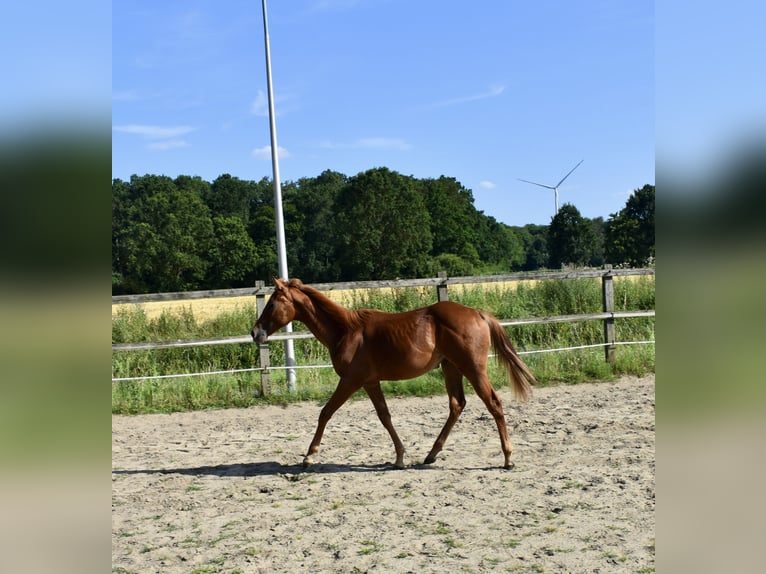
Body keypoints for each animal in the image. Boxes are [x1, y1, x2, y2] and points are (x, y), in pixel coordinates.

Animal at [251, 277, 536, 469]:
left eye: (273, 303)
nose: (255, 333)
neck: (346, 331)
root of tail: (478, 313)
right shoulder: (370, 382)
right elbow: (384, 416)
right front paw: (399, 457)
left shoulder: (351, 380)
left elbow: (325, 413)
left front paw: (309, 456)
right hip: (451, 368)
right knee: (457, 404)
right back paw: (431, 454)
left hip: (472, 369)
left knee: (493, 404)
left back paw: (508, 458)